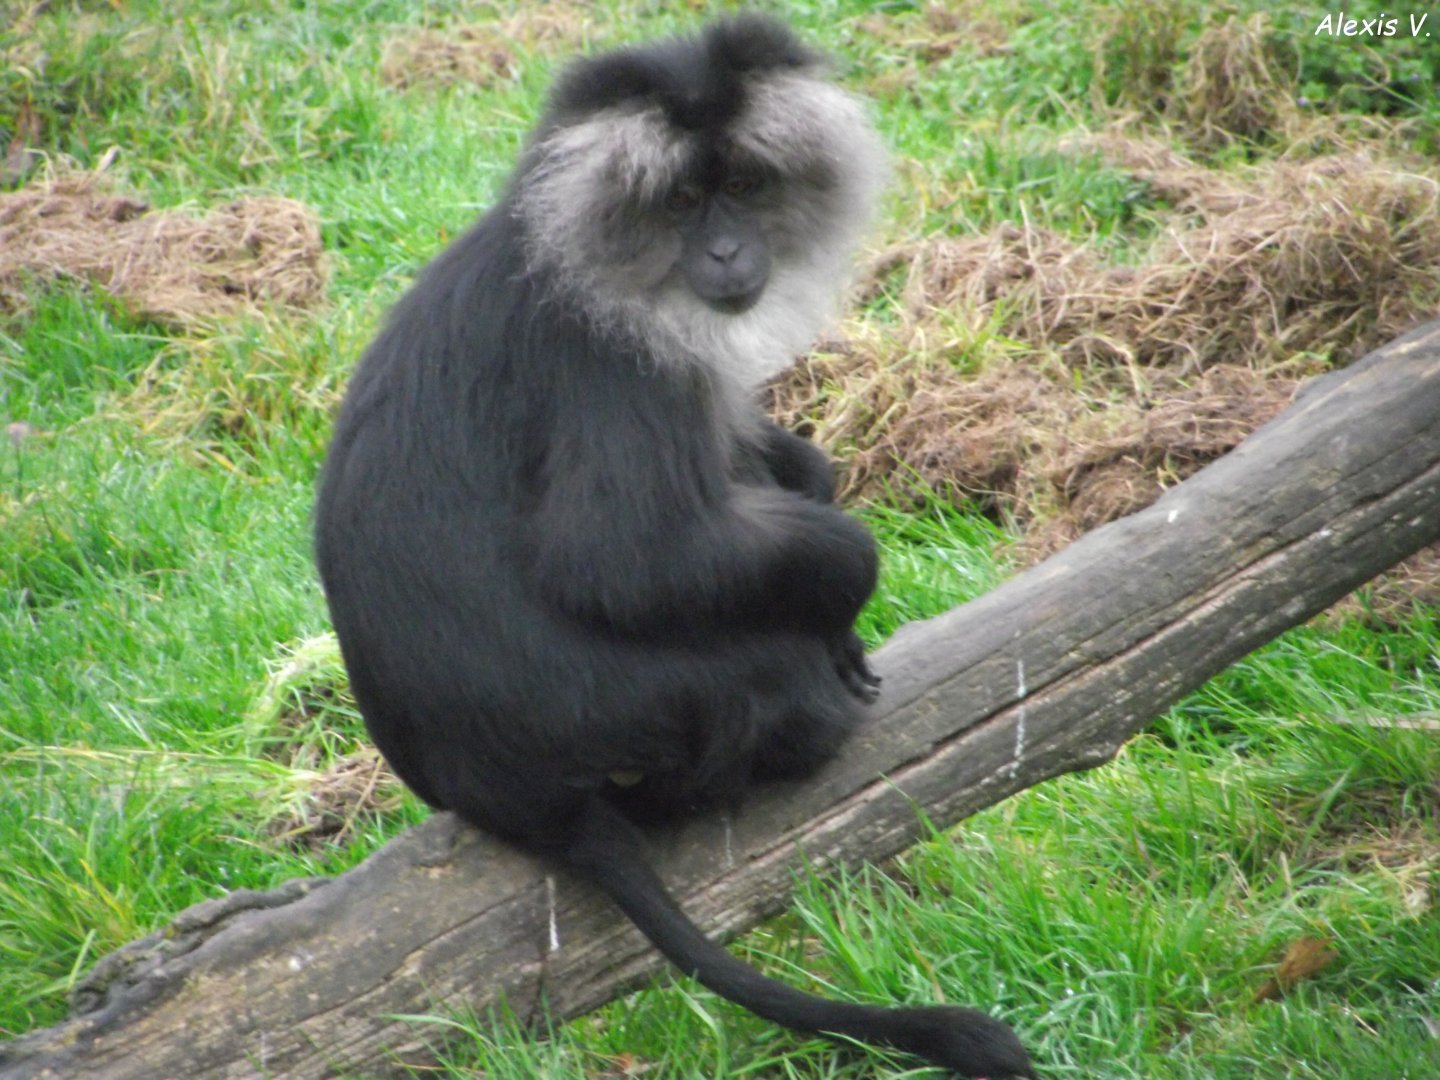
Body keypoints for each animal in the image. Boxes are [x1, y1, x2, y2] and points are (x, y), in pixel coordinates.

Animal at [313, 15, 1034, 1079]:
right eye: (685, 201)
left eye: (743, 186)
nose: (729, 251)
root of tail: (501, 795)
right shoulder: (614, 364)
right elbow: (625, 562)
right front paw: (843, 590)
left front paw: (808, 485)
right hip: (645, 716)